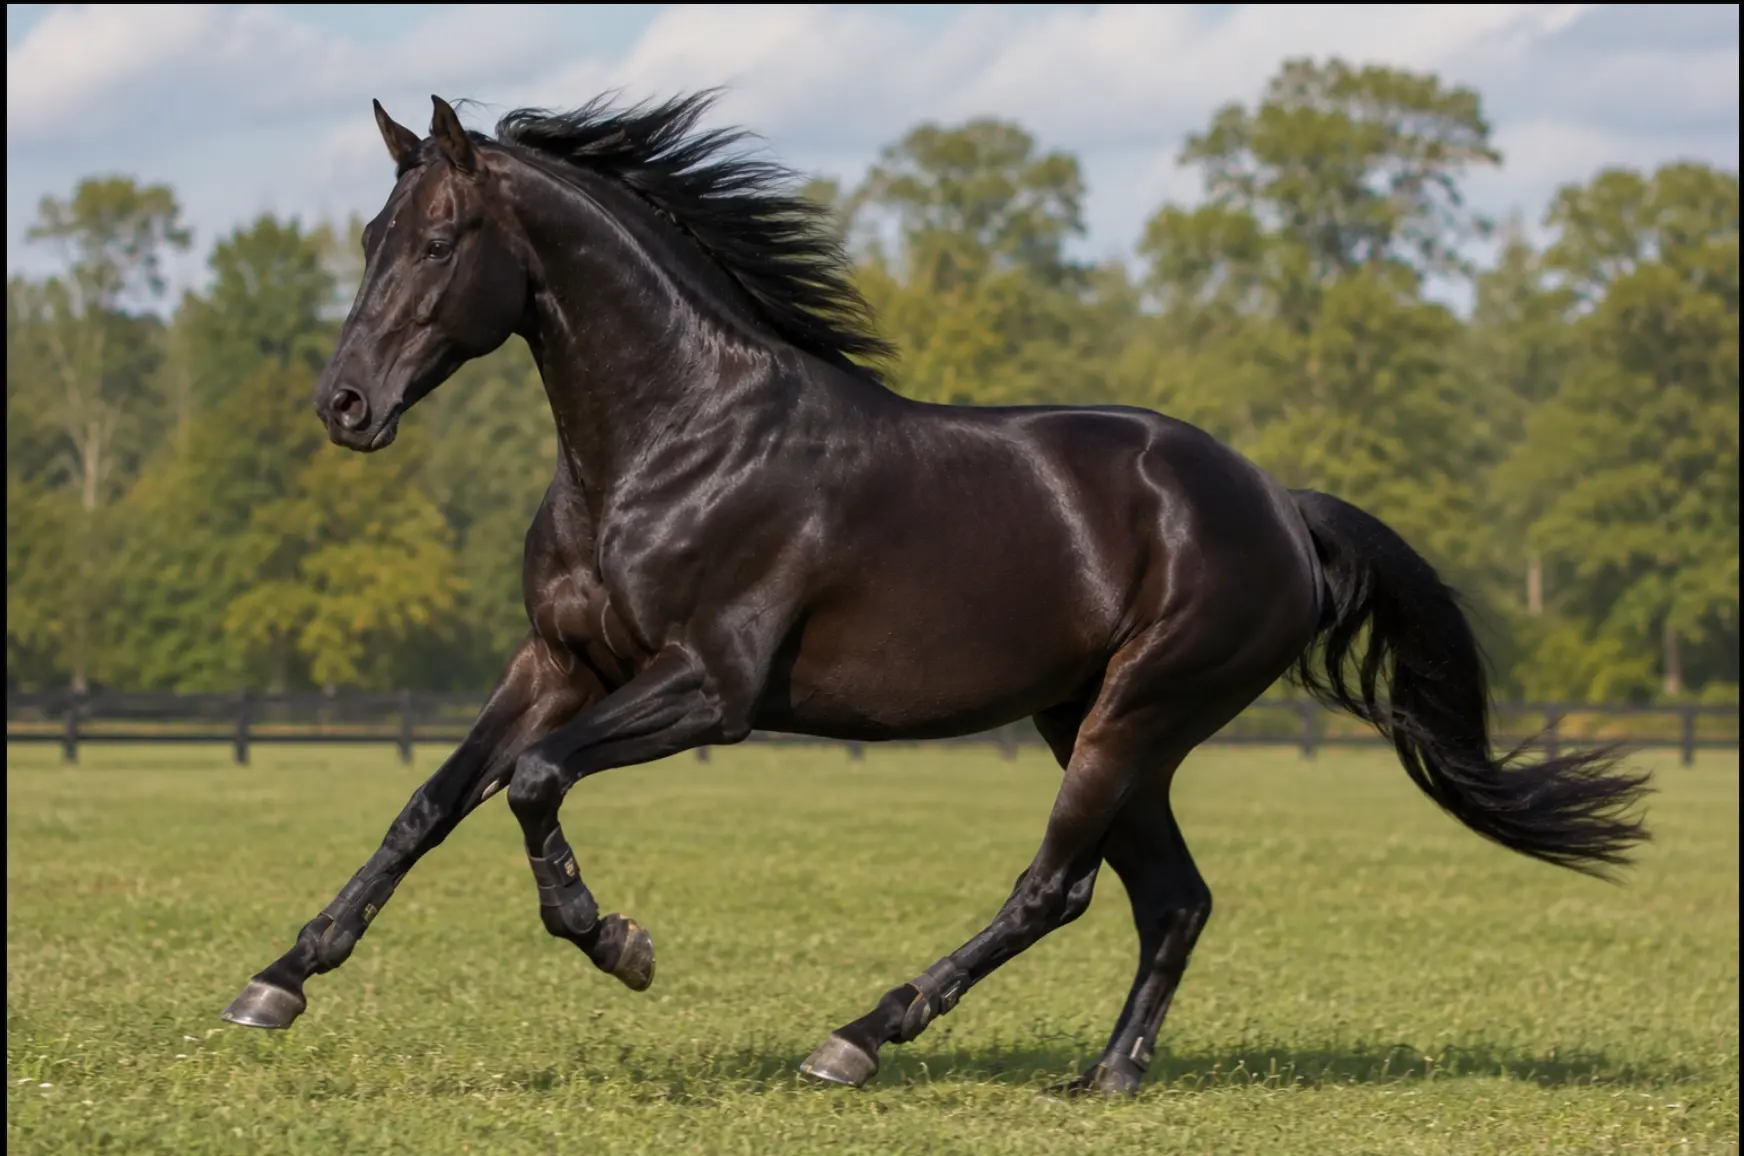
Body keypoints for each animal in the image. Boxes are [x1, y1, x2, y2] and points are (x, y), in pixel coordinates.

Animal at [221, 91, 1650, 1097]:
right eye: (370, 238)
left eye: (441, 240)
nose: (344, 406)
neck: (672, 438)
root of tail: (1279, 506)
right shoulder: (556, 660)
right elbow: (430, 801)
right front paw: (278, 979)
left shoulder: (708, 688)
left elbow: (530, 784)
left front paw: (618, 942)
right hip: (1093, 720)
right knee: (1171, 898)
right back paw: (1104, 1077)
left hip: (1135, 713)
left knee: (1057, 888)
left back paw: (858, 1037)